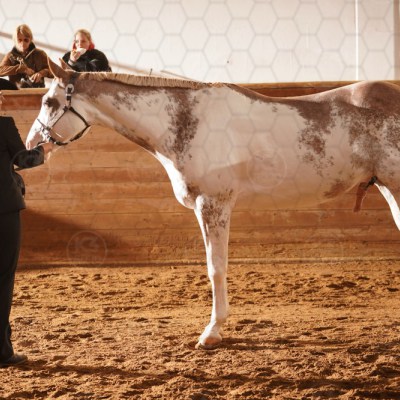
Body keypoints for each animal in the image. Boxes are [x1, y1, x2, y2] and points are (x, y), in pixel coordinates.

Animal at [26, 58, 400, 349]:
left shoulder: (213, 204)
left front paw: (212, 332)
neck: (186, 122)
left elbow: (215, 268)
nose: (31, 144)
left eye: (49, 102)